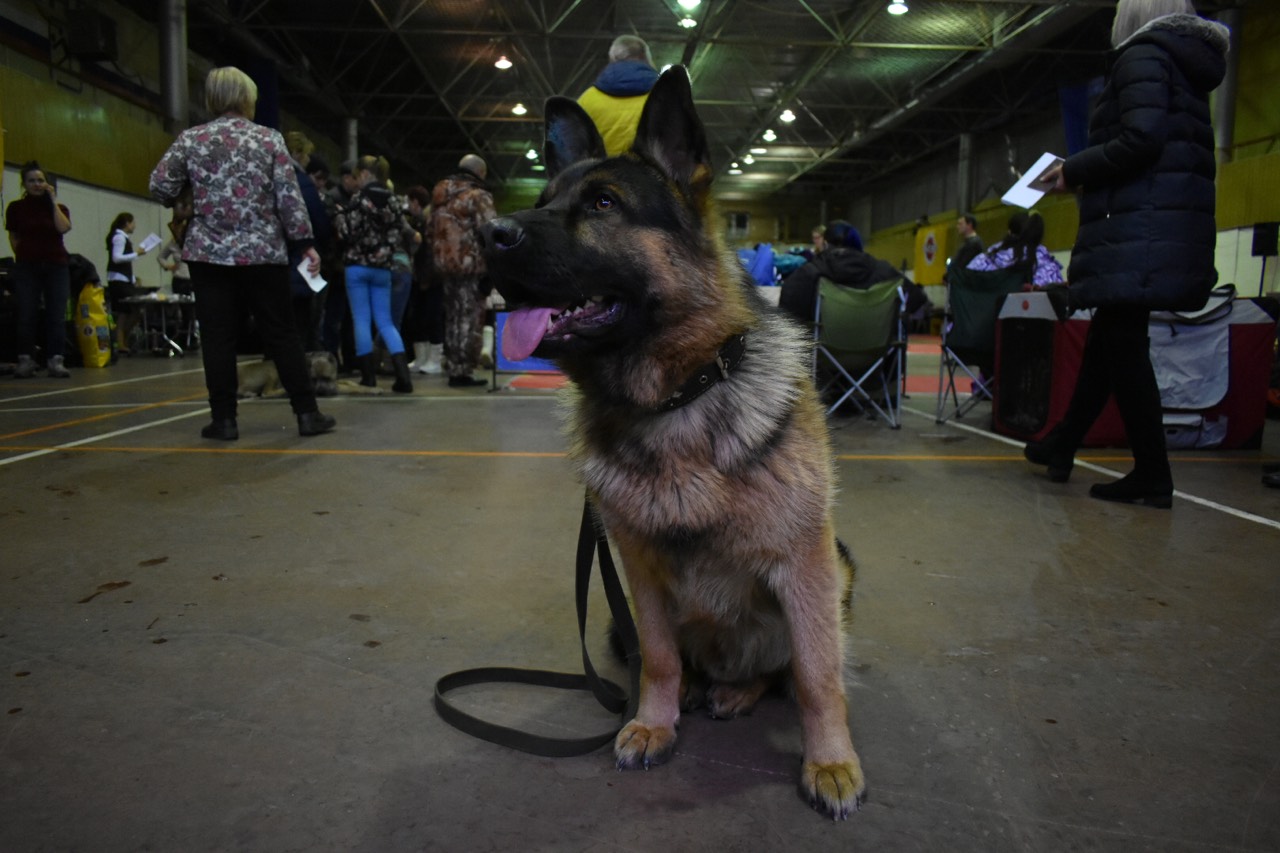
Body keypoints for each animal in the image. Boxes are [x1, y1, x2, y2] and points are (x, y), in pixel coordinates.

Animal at [479, 67, 865, 819]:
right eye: (543, 202)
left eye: (603, 203)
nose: (486, 232)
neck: (672, 401)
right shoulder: (640, 572)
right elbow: (656, 657)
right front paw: (654, 721)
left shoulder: (804, 565)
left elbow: (815, 675)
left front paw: (830, 761)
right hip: (617, 613)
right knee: (676, 660)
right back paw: (694, 690)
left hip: (837, 571)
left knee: (777, 670)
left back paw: (736, 691)